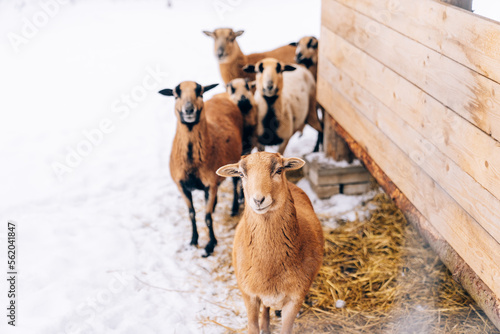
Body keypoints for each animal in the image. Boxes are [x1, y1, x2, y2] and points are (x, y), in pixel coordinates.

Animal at [157, 81, 241, 258]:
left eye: (200, 92)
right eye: (176, 94)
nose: (189, 110)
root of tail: (221, 95)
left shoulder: (210, 185)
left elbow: (207, 217)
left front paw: (210, 245)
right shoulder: (182, 186)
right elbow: (192, 214)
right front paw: (193, 241)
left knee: (236, 182)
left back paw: (234, 207)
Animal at [215, 153, 324, 332]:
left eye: (279, 170)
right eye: (241, 174)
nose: (258, 200)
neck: (269, 265)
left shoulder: (295, 299)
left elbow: (286, 329)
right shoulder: (249, 295)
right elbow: (253, 327)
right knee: (266, 308)